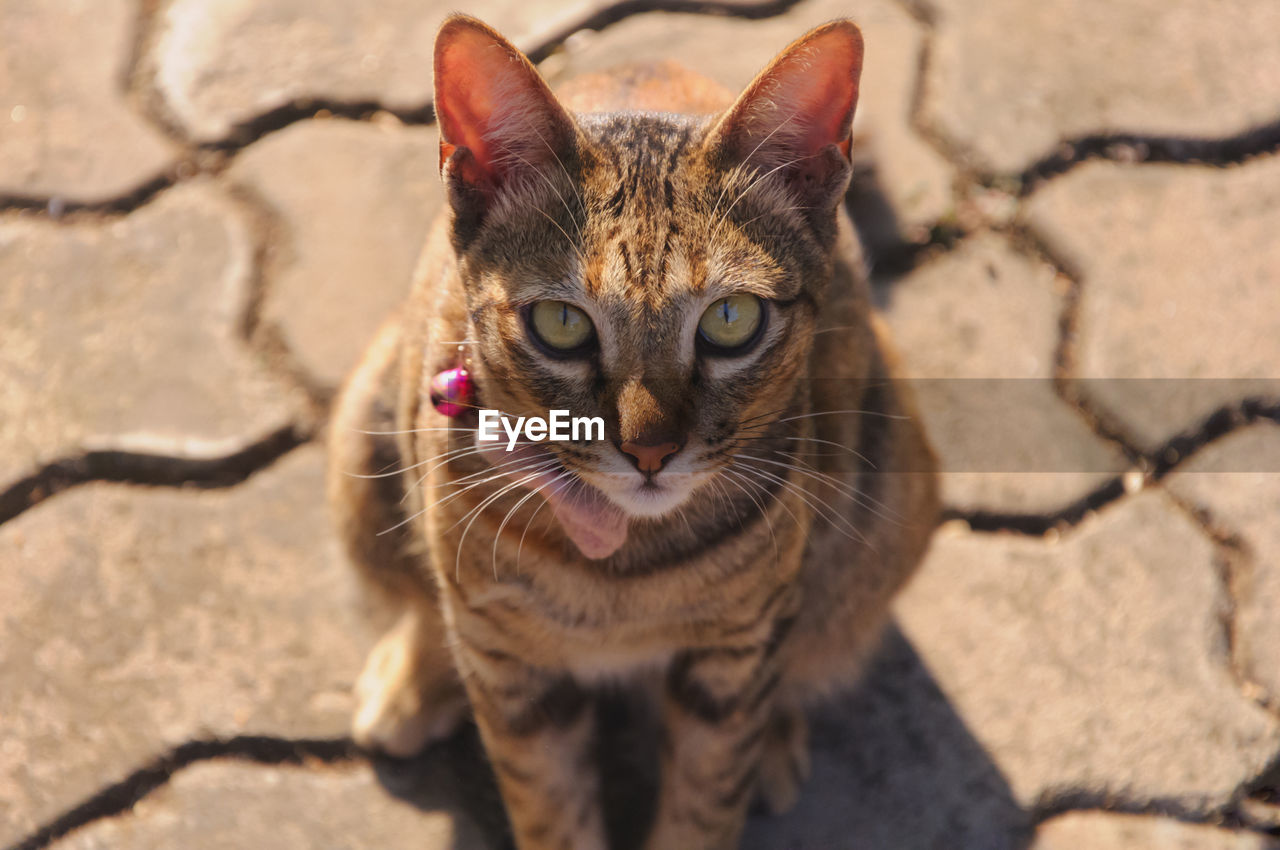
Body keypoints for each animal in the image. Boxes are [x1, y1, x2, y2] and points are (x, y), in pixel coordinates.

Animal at [325, 13, 936, 850]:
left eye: (731, 319)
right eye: (560, 324)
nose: (650, 450)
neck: (619, 571)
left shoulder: (731, 659)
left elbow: (706, 801)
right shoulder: (514, 673)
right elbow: (550, 808)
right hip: (364, 433)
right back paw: (414, 680)